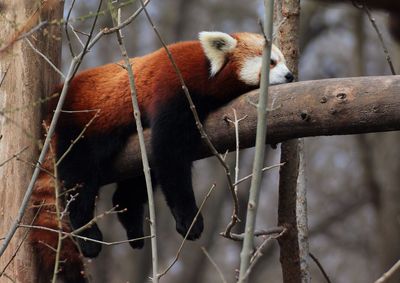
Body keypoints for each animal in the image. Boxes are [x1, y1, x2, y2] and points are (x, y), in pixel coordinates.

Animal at [29, 31, 292, 282]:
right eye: (271, 62)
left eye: (283, 61)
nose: (290, 76)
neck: (204, 70)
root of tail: (56, 98)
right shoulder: (174, 87)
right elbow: (170, 153)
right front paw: (189, 220)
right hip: (79, 126)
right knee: (79, 179)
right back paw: (88, 236)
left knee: (133, 185)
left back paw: (133, 226)